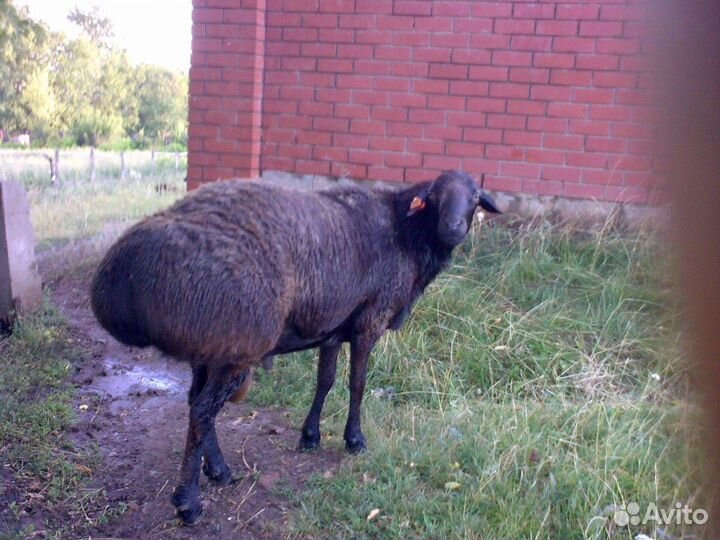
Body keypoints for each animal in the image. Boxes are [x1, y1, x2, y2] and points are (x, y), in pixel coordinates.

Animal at [90, 169, 501, 524]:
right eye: (435, 196)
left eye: (475, 198)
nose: (452, 228)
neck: (407, 232)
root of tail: (120, 275)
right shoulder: (370, 319)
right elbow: (358, 384)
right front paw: (355, 440)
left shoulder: (334, 326)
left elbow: (326, 381)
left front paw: (310, 436)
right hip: (239, 341)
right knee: (203, 410)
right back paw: (188, 502)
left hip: (210, 346)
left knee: (197, 403)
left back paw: (219, 470)